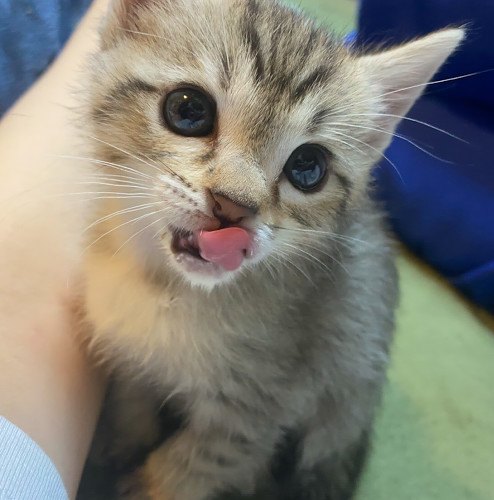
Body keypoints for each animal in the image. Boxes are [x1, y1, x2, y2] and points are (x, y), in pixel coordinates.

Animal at [77, 0, 464, 499]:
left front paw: (145, 484)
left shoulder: (259, 410)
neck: (166, 290)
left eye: (308, 167)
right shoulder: (128, 357)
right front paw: (117, 445)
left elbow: (192, 465)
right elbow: (130, 406)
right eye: (187, 109)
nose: (233, 207)